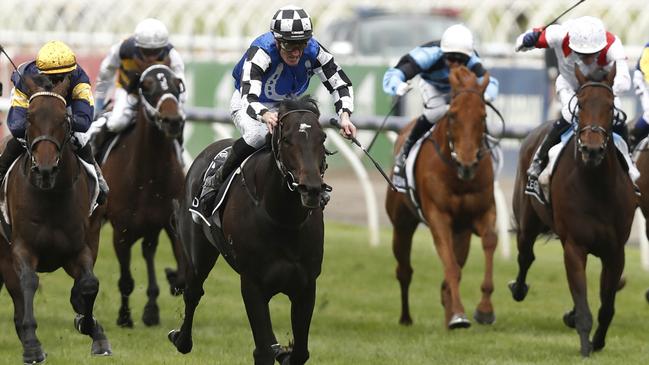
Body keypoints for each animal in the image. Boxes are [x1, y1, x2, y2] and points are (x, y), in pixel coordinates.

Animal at [0, 75, 110, 362]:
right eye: (29, 118)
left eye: (64, 120)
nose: (45, 169)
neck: (50, 197)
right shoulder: (21, 249)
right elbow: (28, 282)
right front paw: (32, 346)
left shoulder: (79, 249)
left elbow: (89, 284)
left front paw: (92, 328)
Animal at [88, 63, 186, 328]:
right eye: (147, 86)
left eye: (176, 85)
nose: (173, 121)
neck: (149, 175)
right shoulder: (121, 231)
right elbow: (126, 281)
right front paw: (124, 317)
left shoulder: (171, 224)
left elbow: (182, 274)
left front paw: (171, 280)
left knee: (149, 251)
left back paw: (151, 309)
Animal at [168, 97, 330, 364]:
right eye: (287, 139)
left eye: (323, 138)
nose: (312, 189)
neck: (282, 219)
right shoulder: (253, 284)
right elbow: (262, 351)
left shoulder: (306, 285)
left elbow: (300, 353)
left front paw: (285, 352)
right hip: (198, 252)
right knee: (193, 292)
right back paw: (181, 339)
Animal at [384, 64, 496, 328]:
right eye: (453, 115)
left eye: (483, 116)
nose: (467, 164)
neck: (457, 176)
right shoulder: (439, 217)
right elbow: (451, 267)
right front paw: (458, 315)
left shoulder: (483, 212)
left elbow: (489, 242)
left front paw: (484, 309)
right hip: (401, 225)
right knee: (404, 270)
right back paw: (406, 318)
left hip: (461, 232)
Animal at [506, 65, 632, 356]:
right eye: (581, 104)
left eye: (610, 106)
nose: (592, 149)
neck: (596, 186)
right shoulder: (575, 246)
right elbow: (584, 303)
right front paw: (585, 346)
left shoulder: (615, 251)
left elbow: (607, 304)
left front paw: (598, 341)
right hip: (527, 222)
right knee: (525, 255)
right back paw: (518, 288)